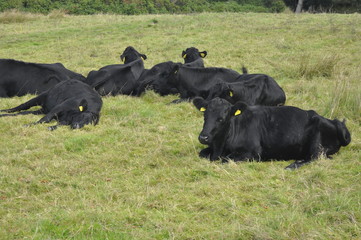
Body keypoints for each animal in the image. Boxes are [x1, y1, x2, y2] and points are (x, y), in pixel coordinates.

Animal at [193, 96, 350, 170]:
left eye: (222, 118)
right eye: (205, 116)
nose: (203, 137)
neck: (221, 146)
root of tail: (333, 121)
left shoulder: (253, 153)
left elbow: (226, 159)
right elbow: (202, 153)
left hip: (317, 143)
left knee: (316, 157)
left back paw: (292, 165)